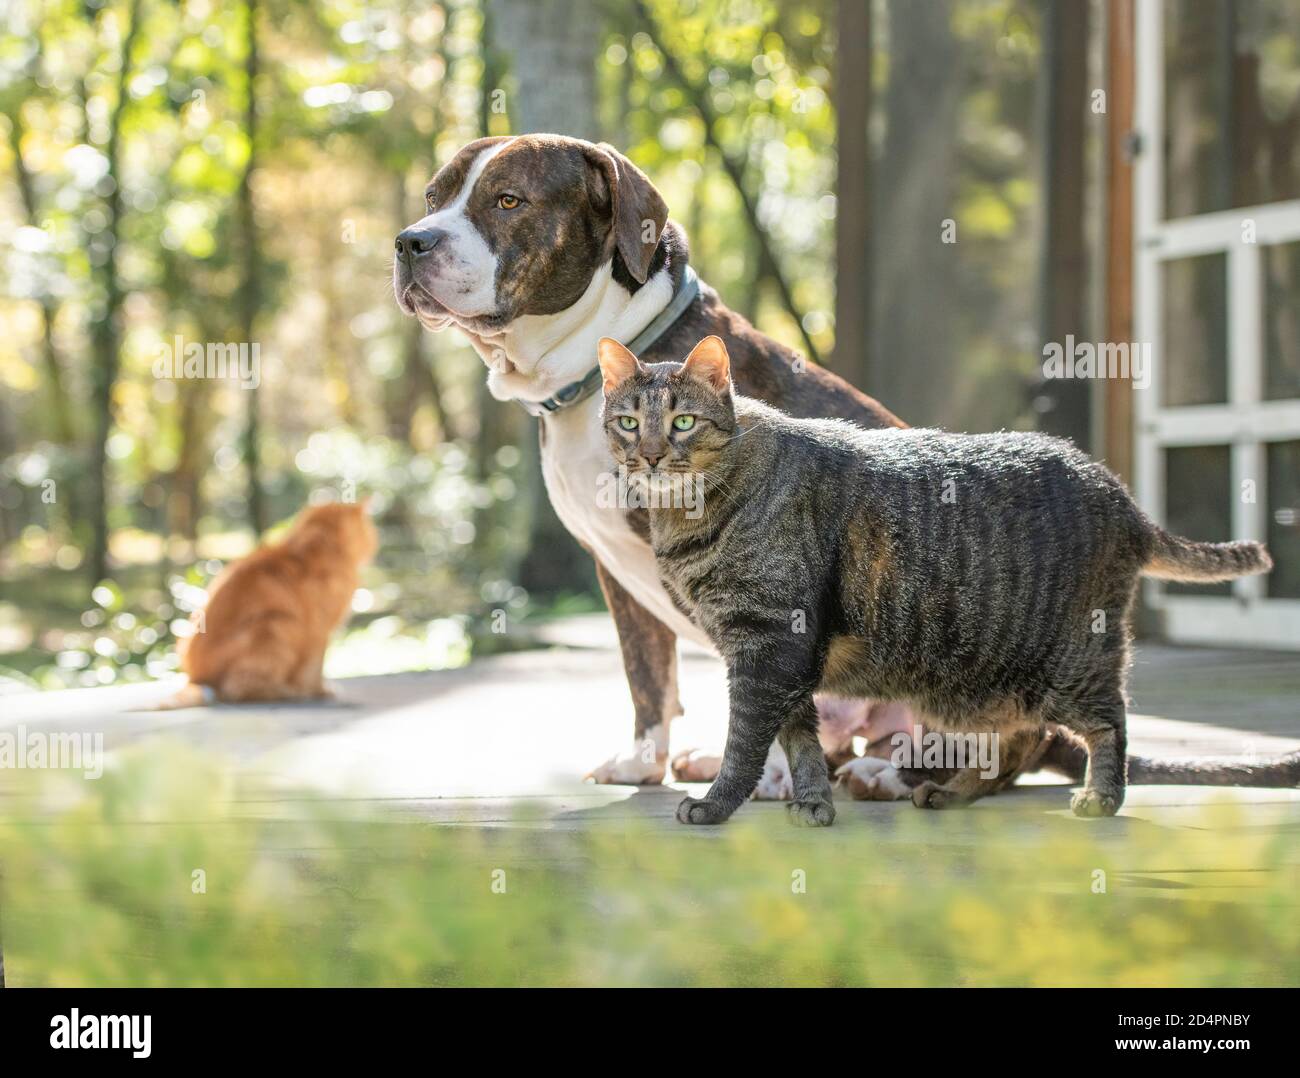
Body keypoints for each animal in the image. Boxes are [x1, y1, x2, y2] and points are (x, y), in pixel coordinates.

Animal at [162, 499, 377, 707]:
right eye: (370, 532)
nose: (373, 545)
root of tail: (197, 680)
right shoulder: (319, 630)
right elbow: (314, 668)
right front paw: (319, 691)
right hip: (276, 624)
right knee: (240, 690)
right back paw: (290, 692)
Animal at [595, 335, 1268, 821]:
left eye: (682, 422)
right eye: (628, 422)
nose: (649, 454)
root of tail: (1122, 497)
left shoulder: (769, 646)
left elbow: (746, 744)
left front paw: (716, 805)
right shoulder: (779, 660)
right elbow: (801, 740)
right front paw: (813, 805)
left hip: (1073, 664)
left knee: (1110, 723)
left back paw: (1100, 798)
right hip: (983, 687)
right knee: (1011, 742)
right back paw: (950, 793)